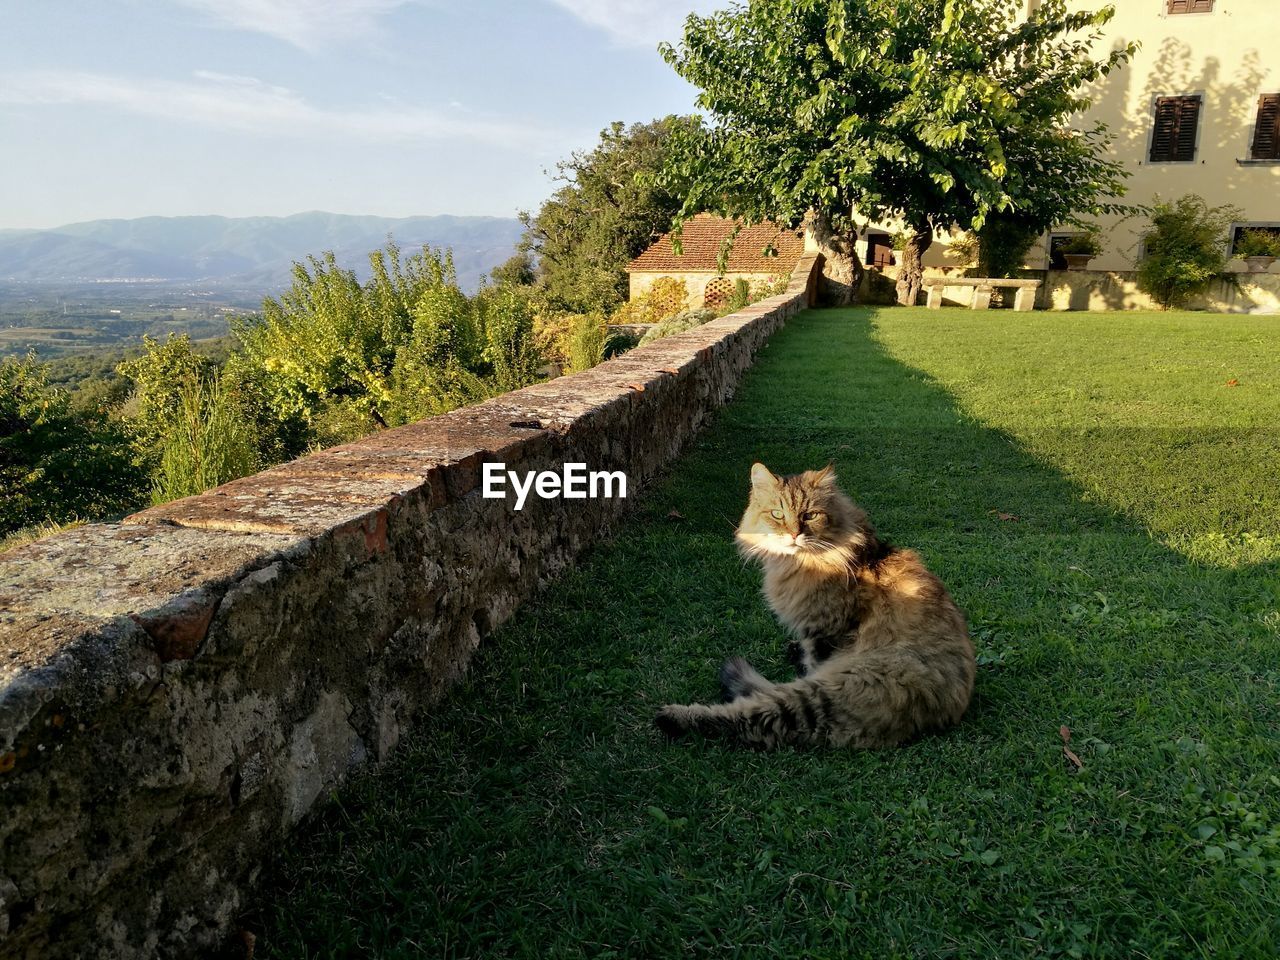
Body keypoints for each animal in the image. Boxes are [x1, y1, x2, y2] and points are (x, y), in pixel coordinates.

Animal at [655, 463, 972, 752]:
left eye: (810, 515)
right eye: (777, 514)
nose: (794, 535)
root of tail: (946, 711)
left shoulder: (824, 631)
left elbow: (811, 662)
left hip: (825, 694)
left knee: (751, 717)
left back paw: (673, 717)